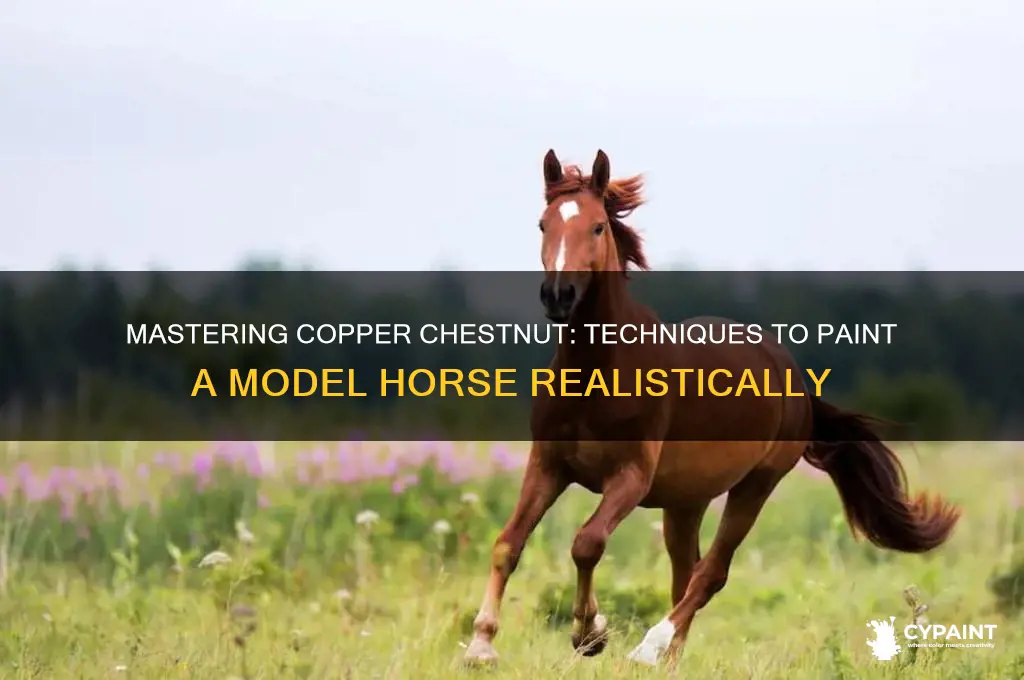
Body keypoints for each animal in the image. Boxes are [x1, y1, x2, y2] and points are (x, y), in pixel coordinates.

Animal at [462, 148, 962, 667]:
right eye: (543, 224)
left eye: (598, 227)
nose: (558, 296)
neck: (599, 375)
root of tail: (794, 379)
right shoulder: (549, 464)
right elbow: (508, 543)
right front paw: (481, 644)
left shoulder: (630, 478)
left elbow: (588, 543)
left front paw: (589, 633)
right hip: (686, 502)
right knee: (687, 573)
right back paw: (668, 661)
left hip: (755, 487)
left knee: (710, 573)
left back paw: (649, 647)